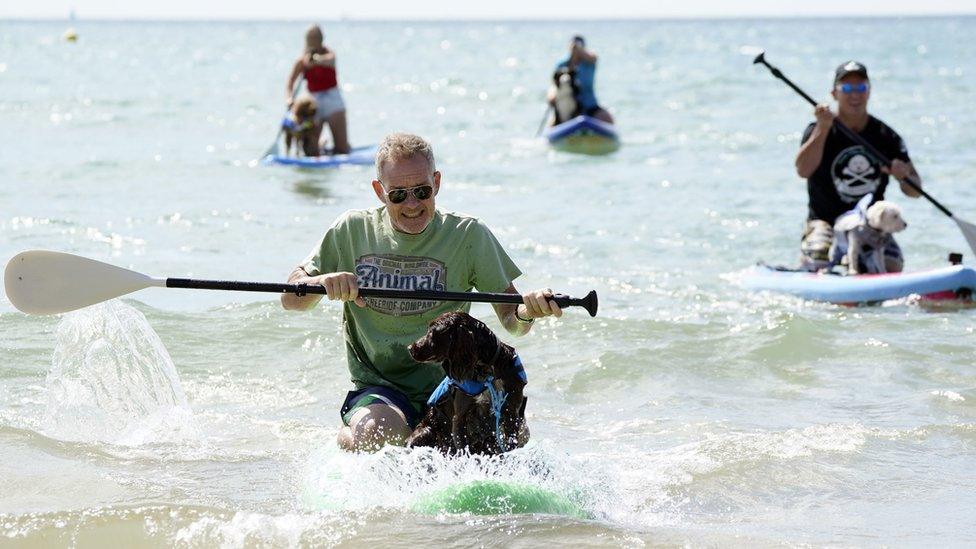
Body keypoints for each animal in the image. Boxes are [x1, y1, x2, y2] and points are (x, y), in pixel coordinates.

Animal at [406, 310, 528, 456]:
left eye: (432, 332)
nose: (409, 348)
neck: (486, 372)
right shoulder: (459, 417)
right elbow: (464, 450)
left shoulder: (512, 413)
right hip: (424, 432)